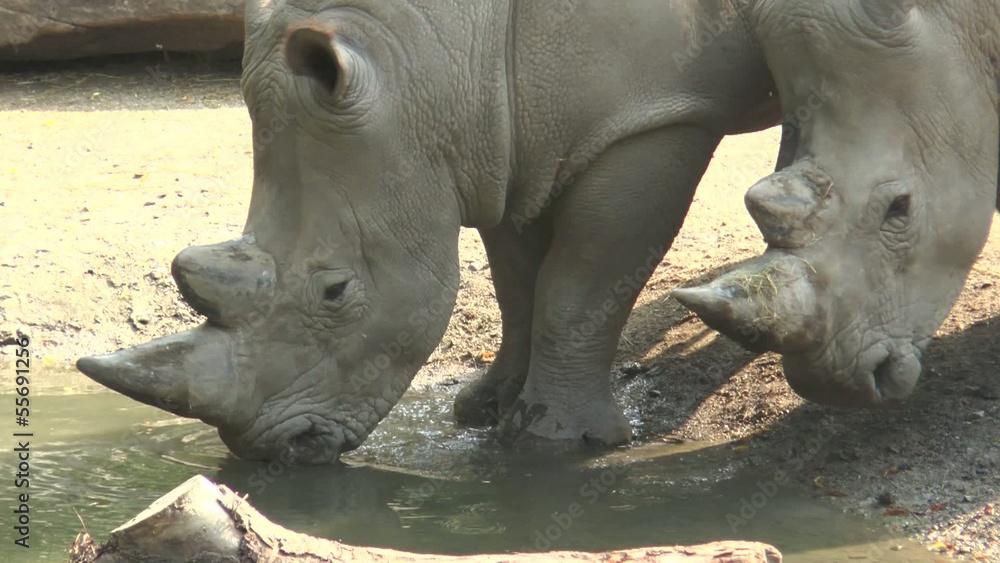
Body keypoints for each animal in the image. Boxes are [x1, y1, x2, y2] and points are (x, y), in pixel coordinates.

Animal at [77, 0, 781, 464]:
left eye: (335, 292)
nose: (275, 450)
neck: (435, 55)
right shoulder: (506, 133)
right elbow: (518, 281)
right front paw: (484, 411)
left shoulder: (656, 116)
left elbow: (582, 281)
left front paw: (553, 441)